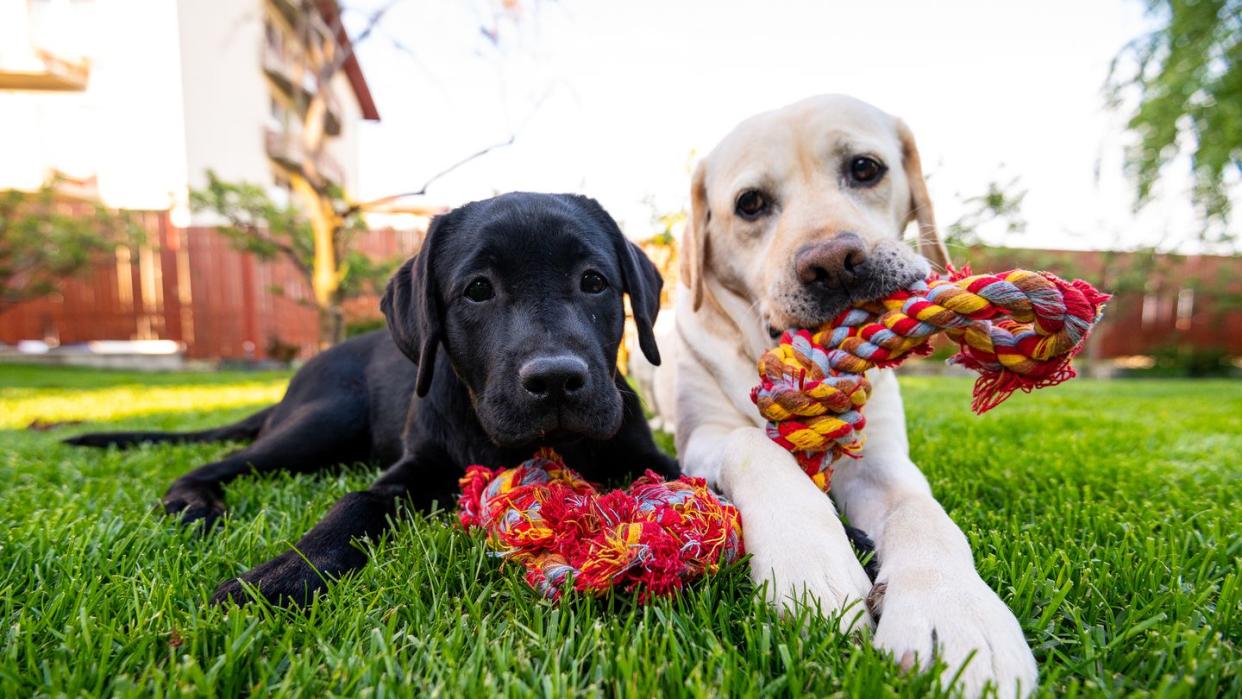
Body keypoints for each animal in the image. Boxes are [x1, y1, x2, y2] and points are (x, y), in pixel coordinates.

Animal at [67, 192, 680, 608]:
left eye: (594, 282)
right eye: (478, 289)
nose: (555, 379)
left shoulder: (646, 453)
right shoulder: (415, 466)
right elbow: (356, 501)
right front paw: (284, 574)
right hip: (325, 420)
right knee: (221, 461)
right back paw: (193, 503)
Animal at [670, 94, 1038, 699]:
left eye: (865, 168)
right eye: (750, 204)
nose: (833, 262)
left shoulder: (880, 460)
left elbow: (922, 512)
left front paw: (956, 614)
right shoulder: (702, 435)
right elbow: (755, 445)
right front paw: (811, 567)